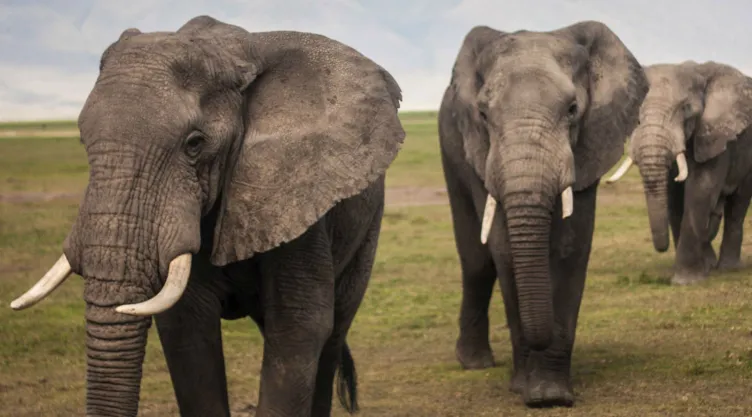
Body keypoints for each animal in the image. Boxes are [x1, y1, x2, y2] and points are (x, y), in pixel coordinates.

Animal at [8, 15, 405, 417]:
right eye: (82, 140)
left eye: (194, 144)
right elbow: (188, 331)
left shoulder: (296, 192)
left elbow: (299, 327)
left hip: (368, 226)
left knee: (333, 334)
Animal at [438, 21, 648, 407]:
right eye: (483, 115)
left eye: (573, 109)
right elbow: (504, 251)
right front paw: (526, 389)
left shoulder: (590, 144)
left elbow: (570, 247)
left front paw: (551, 395)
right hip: (450, 146)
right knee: (477, 262)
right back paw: (474, 363)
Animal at [605, 61, 752, 285]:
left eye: (686, 109)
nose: (662, 247)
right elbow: (674, 197)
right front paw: (701, 270)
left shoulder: (713, 135)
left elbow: (701, 189)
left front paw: (686, 281)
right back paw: (711, 264)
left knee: (737, 205)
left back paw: (728, 268)